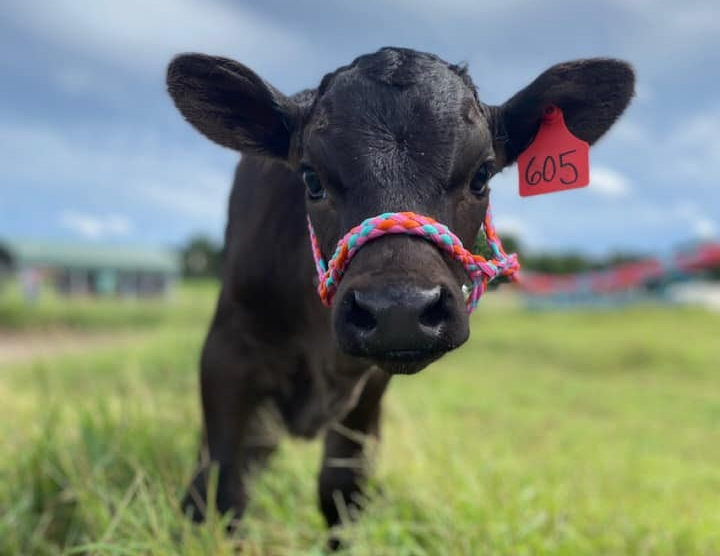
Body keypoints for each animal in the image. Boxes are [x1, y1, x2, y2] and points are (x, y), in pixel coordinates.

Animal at [166, 47, 634, 542]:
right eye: (311, 178)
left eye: (482, 175)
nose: (399, 309)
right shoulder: (225, 354)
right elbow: (219, 491)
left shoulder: (370, 388)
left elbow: (342, 489)